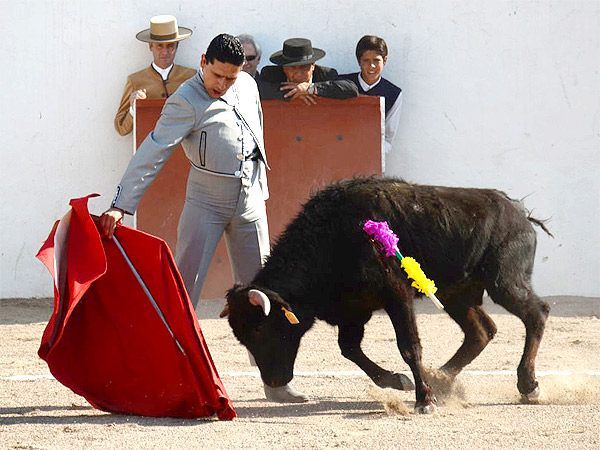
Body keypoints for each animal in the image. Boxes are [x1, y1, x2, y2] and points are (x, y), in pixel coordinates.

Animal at [223, 177, 552, 414]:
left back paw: (528, 385)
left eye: (260, 329)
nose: (274, 381)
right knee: (481, 331)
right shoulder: (352, 309)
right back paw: (441, 379)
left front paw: (424, 401)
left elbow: (409, 347)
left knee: (536, 313)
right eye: (242, 338)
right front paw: (399, 381)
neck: (333, 236)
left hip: (505, 282)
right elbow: (349, 348)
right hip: (456, 294)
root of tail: (520, 213)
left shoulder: (396, 295)